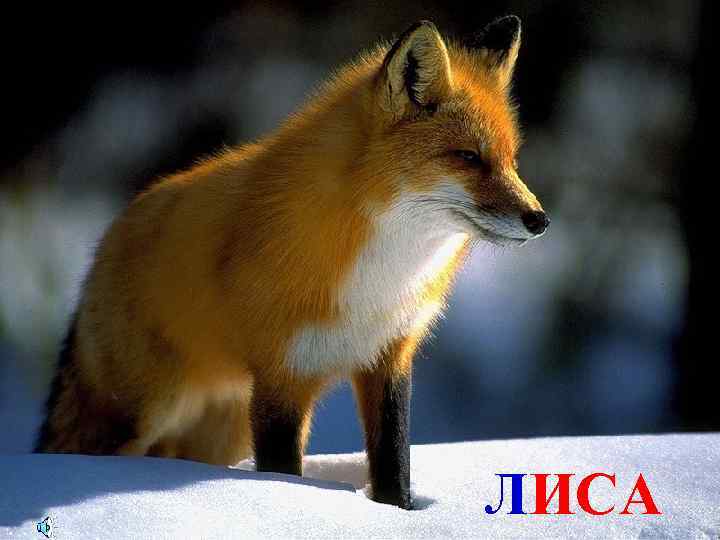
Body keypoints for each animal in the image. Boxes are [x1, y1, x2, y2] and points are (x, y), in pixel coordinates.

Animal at [34, 16, 548, 509]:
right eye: (468, 158)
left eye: (511, 160)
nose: (539, 220)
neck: (382, 276)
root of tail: (105, 242)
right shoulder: (283, 377)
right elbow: (283, 476)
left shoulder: (389, 359)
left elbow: (393, 470)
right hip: (140, 412)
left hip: (222, 431)